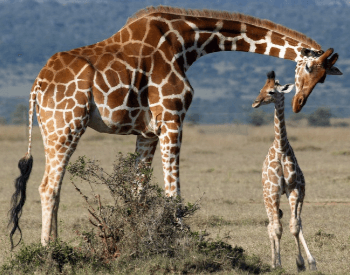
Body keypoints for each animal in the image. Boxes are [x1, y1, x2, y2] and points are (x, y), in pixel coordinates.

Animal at [8, 5, 342, 248]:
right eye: (308, 68)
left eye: (323, 79)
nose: (299, 103)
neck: (187, 43)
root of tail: (37, 86)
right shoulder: (172, 116)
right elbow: (173, 192)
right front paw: (181, 240)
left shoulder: (147, 131)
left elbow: (139, 190)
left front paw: (139, 240)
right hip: (66, 125)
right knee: (48, 186)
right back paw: (48, 250)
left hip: (51, 128)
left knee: (54, 186)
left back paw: (57, 244)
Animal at [252, 71, 318, 272]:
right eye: (261, 89)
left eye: (272, 92)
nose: (255, 102)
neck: (281, 148)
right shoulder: (274, 192)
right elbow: (277, 229)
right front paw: (278, 264)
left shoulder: (294, 189)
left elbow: (294, 226)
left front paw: (302, 262)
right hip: (267, 197)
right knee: (271, 225)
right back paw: (274, 262)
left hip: (295, 195)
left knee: (296, 222)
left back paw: (309, 261)